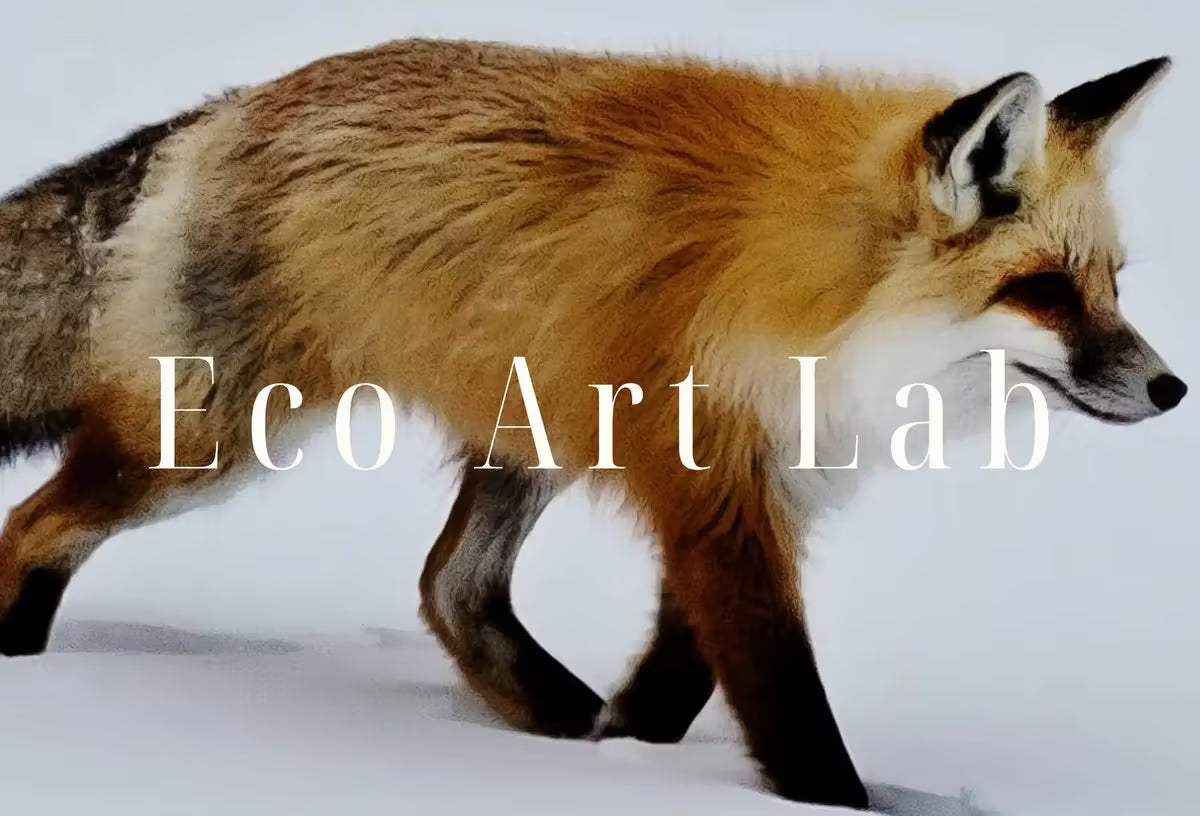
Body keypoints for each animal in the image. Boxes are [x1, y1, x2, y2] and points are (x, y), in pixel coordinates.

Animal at [0, 36, 1186, 810]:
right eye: (1044, 291)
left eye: (1113, 283)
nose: (1171, 389)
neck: (819, 304)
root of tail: (232, 107)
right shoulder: (715, 490)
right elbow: (786, 701)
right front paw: (825, 800)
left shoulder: (755, 491)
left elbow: (683, 675)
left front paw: (625, 760)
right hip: (209, 442)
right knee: (31, 526)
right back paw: (28, 671)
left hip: (524, 434)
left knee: (449, 585)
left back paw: (556, 721)